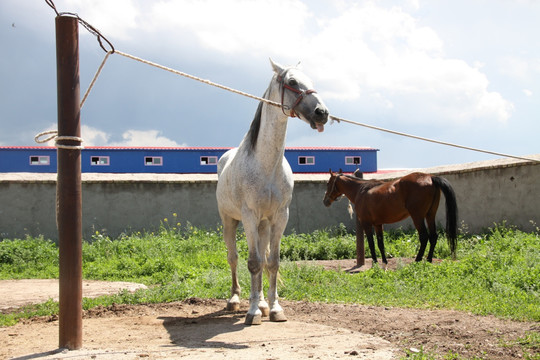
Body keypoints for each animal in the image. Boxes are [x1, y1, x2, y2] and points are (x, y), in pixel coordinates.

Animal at [216, 59, 330, 326]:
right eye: (292, 82)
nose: (322, 112)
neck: (266, 165)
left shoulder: (279, 217)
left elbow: (272, 263)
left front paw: (275, 308)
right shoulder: (249, 216)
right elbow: (253, 263)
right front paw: (252, 312)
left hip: (263, 224)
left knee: (263, 258)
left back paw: (263, 303)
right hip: (230, 221)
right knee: (233, 258)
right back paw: (236, 300)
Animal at [322, 170, 458, 262]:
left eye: (328, 183)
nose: (325, 201)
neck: (362, 190)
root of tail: (430, 177)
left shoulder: (366, 224)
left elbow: (371, 244)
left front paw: (375, 263)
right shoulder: (378, 224)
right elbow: (380, 244)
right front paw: (384, 263)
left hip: (417, 217)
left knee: (424, 237)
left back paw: (418, 260)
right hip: (430, 215)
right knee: (434, 236)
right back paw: (428, 260)